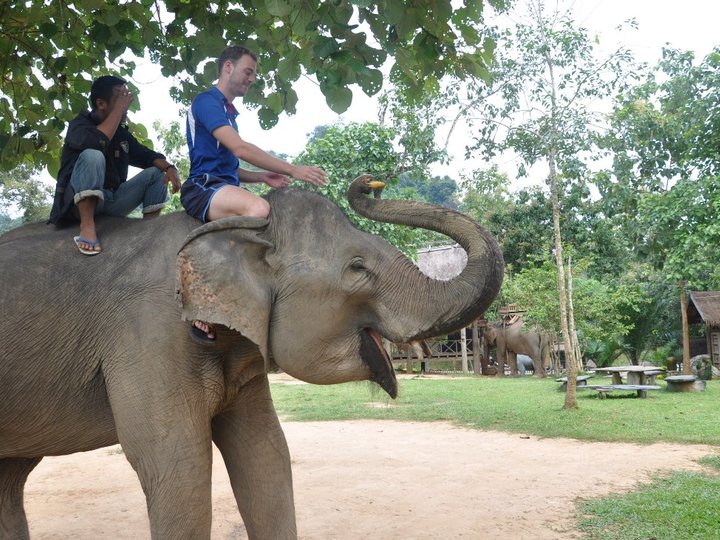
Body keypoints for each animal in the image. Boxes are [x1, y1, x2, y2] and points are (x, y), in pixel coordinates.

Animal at [0, 175, 504, 536]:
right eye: (358, 268)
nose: (369, 184)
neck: (239, 232)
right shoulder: (147, 330)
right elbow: (177, 467)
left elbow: (266, 455)